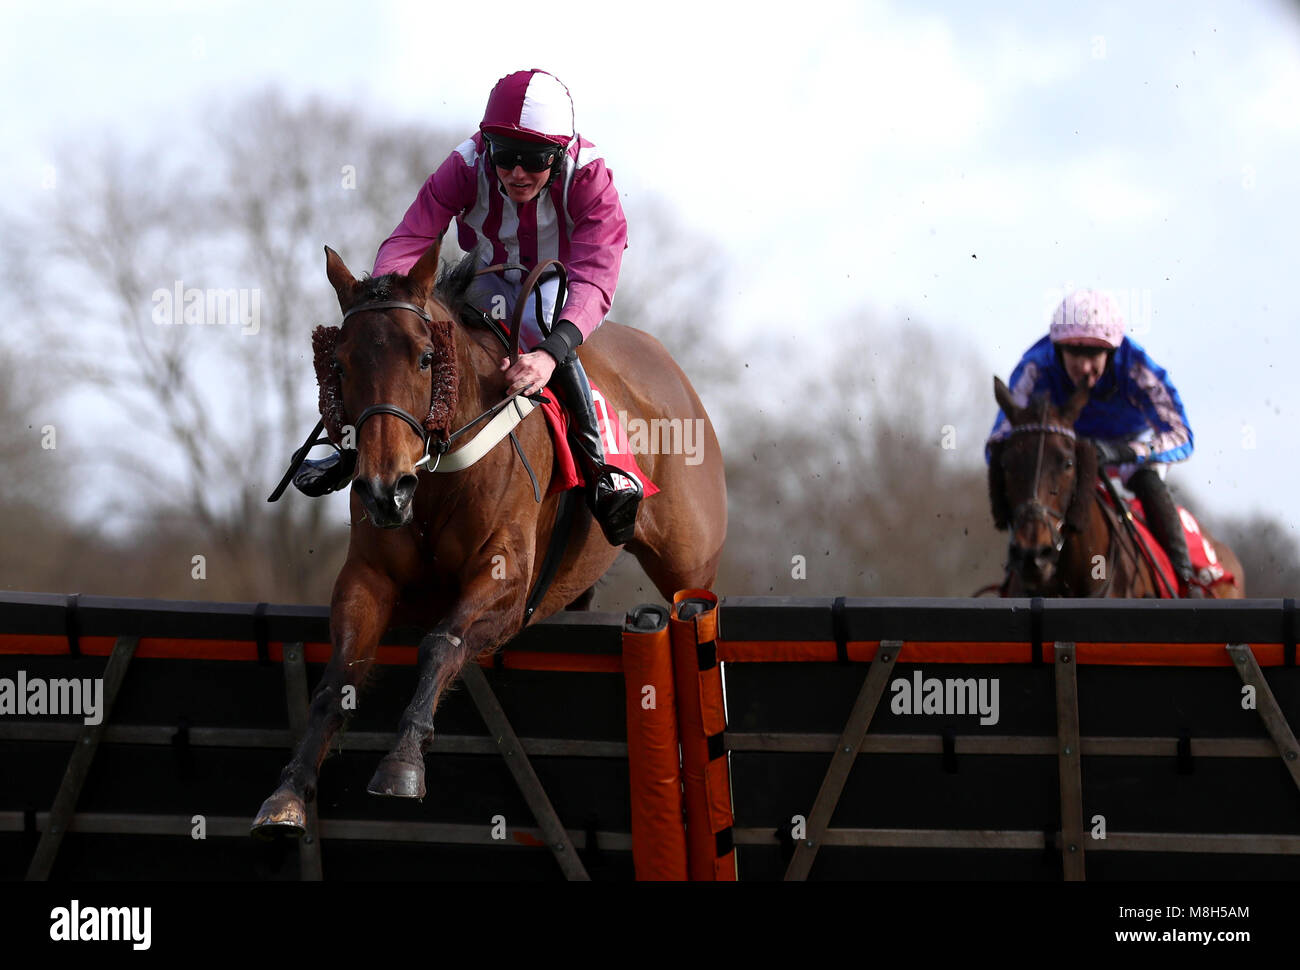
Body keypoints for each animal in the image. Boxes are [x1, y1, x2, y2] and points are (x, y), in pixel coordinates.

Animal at [248, 240, 728, 832]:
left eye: (425, 357)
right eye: (337, 363)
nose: (385, 491)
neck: (438, 474)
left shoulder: (506, 581)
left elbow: (442, 642)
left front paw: (402, 763)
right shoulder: (368, 576)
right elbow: (338, 677)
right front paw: (288, 791)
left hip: (688, 564)